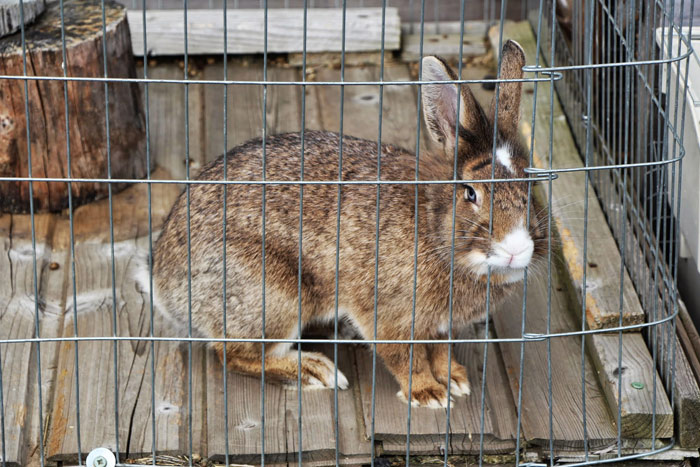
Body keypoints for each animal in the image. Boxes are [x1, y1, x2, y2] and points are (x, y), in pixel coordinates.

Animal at [142, 41, 548, 410]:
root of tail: (163, 283)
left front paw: (455, 379)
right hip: (273, 296)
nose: (516, 249)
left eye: (531, 190)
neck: (432, 226)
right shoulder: (388, 316)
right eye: (470, 193)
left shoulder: (437, 326)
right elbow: (406, 357)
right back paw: (312, 370)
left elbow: (438, 352)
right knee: (233, 354)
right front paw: (428, 394)